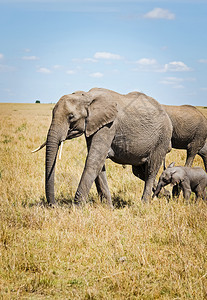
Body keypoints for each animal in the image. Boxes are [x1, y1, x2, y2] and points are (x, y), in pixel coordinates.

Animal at [35, 88, 171, 207]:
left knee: (150, 171)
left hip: (161, 139)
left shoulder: (109, 125)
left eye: (71, 117)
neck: (87, 96)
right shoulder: (94, 125)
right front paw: (108, 208)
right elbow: (99, 165)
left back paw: (144, 204)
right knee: (139, 172)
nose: (54, 206)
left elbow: (93, 161)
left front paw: (76, 209)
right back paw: (167, 196)